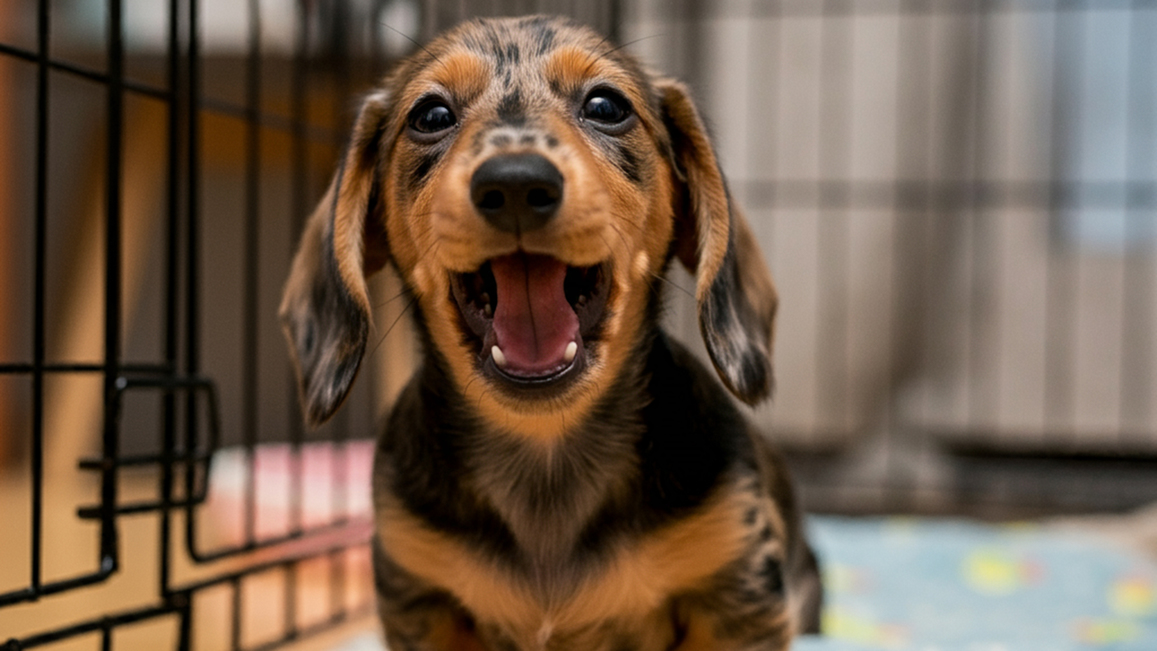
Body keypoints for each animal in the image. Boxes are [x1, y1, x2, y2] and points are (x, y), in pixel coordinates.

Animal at [279, 15, 823, 651]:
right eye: (431, 115)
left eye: (606, 106)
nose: (515, 183)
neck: (543, 450)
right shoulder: (420, 598)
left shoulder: (738, 598)